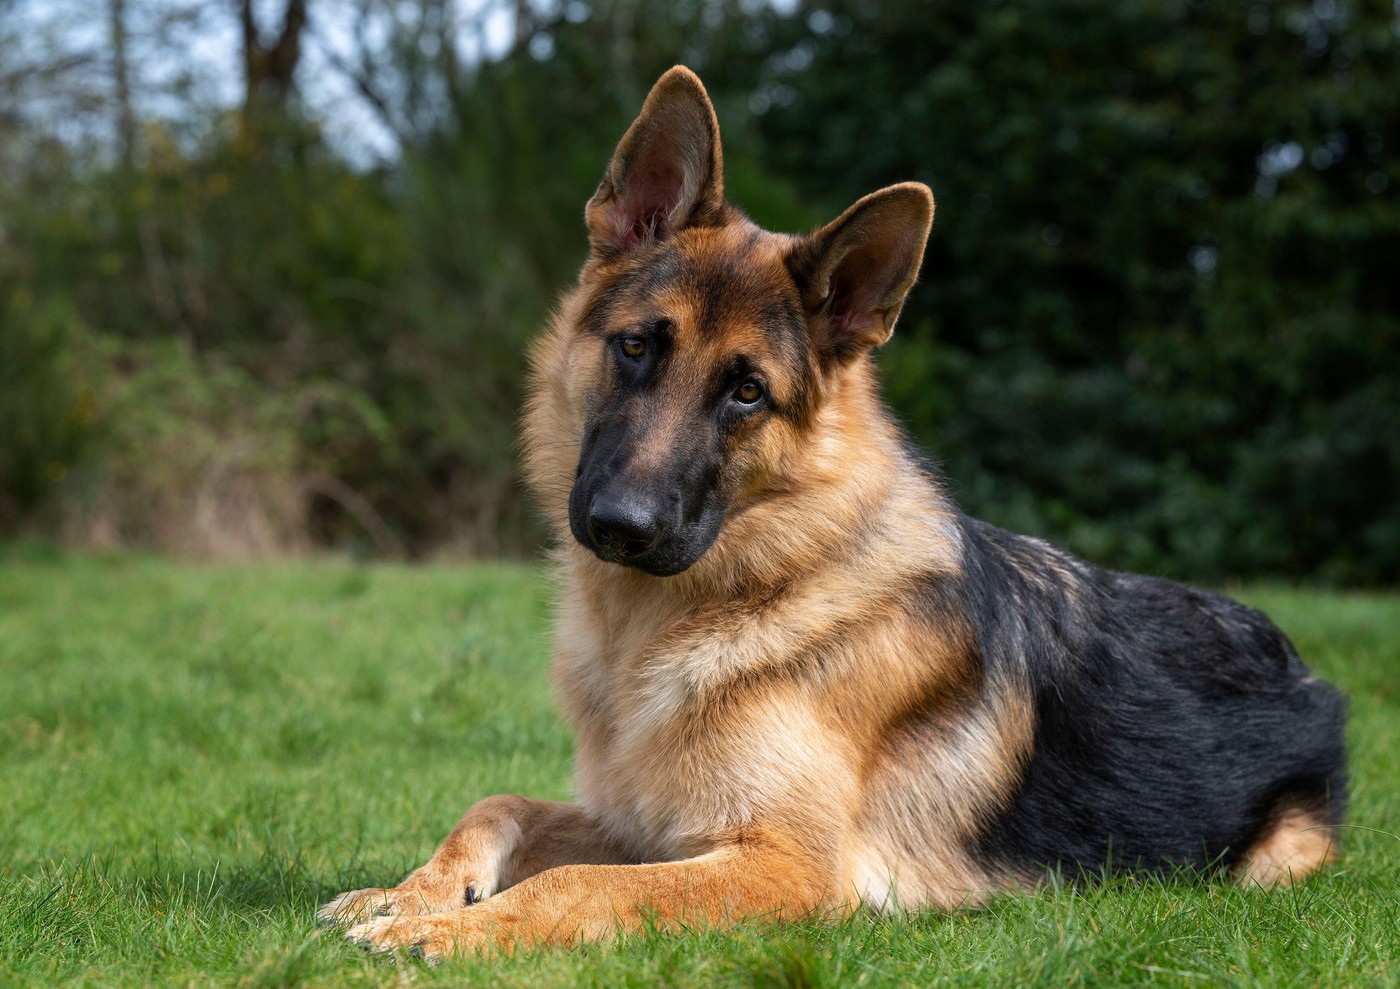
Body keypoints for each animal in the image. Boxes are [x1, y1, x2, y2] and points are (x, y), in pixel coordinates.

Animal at [317, 67, 1344, 952]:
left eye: (747, 393)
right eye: (638, 346)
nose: (620, 525)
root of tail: (1299, 663)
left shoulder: (783, 865)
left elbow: (574, 884)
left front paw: (449, 929)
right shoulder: (645, 823)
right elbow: (498, 805)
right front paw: (411, 891)